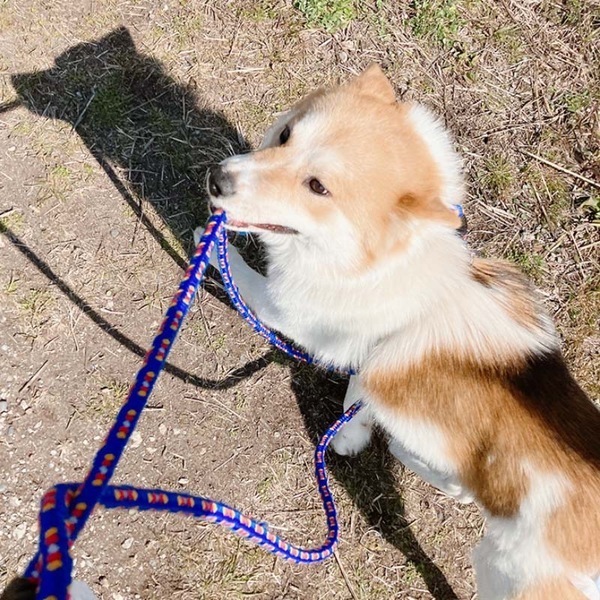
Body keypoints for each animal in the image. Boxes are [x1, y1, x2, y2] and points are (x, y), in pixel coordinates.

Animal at [198, 65, 600, 599]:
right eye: (285, 136)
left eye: (318, 187)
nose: (217, 180)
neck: (384, 263)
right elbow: (359, 390)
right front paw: (353, 430)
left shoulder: (285, 308)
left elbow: (240, 274)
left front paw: (210, 245)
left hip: (503, 573)